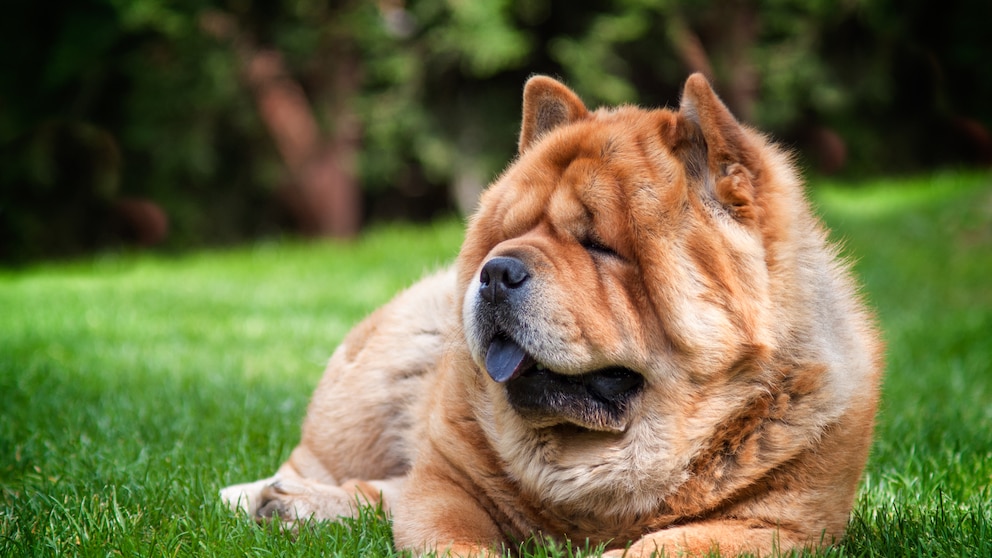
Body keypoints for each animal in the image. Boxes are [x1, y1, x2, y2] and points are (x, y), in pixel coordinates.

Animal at [221, 75, 880, 558]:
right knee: (336, 471)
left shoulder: (780, 525)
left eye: (598, 245)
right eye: (508, 234)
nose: (495, 272)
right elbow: (447, 525)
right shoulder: (446, 487)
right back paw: (270, 499)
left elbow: (659, 547)